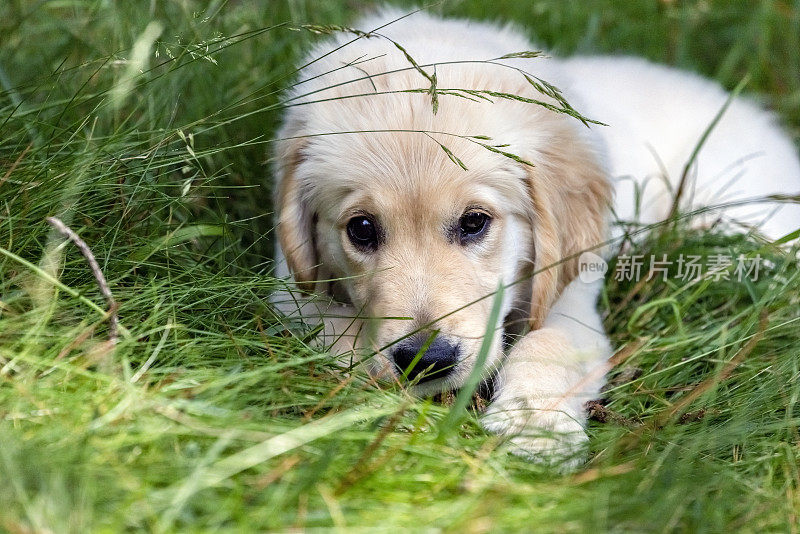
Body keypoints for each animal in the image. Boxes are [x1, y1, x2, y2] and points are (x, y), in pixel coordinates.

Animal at [270, 10, 800, 466]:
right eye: (361, 229)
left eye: (474, 222)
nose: (427, 361)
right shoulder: (289, 289)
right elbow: (334, 327)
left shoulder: (571, 292)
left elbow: (549, 344)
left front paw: (534, 429)